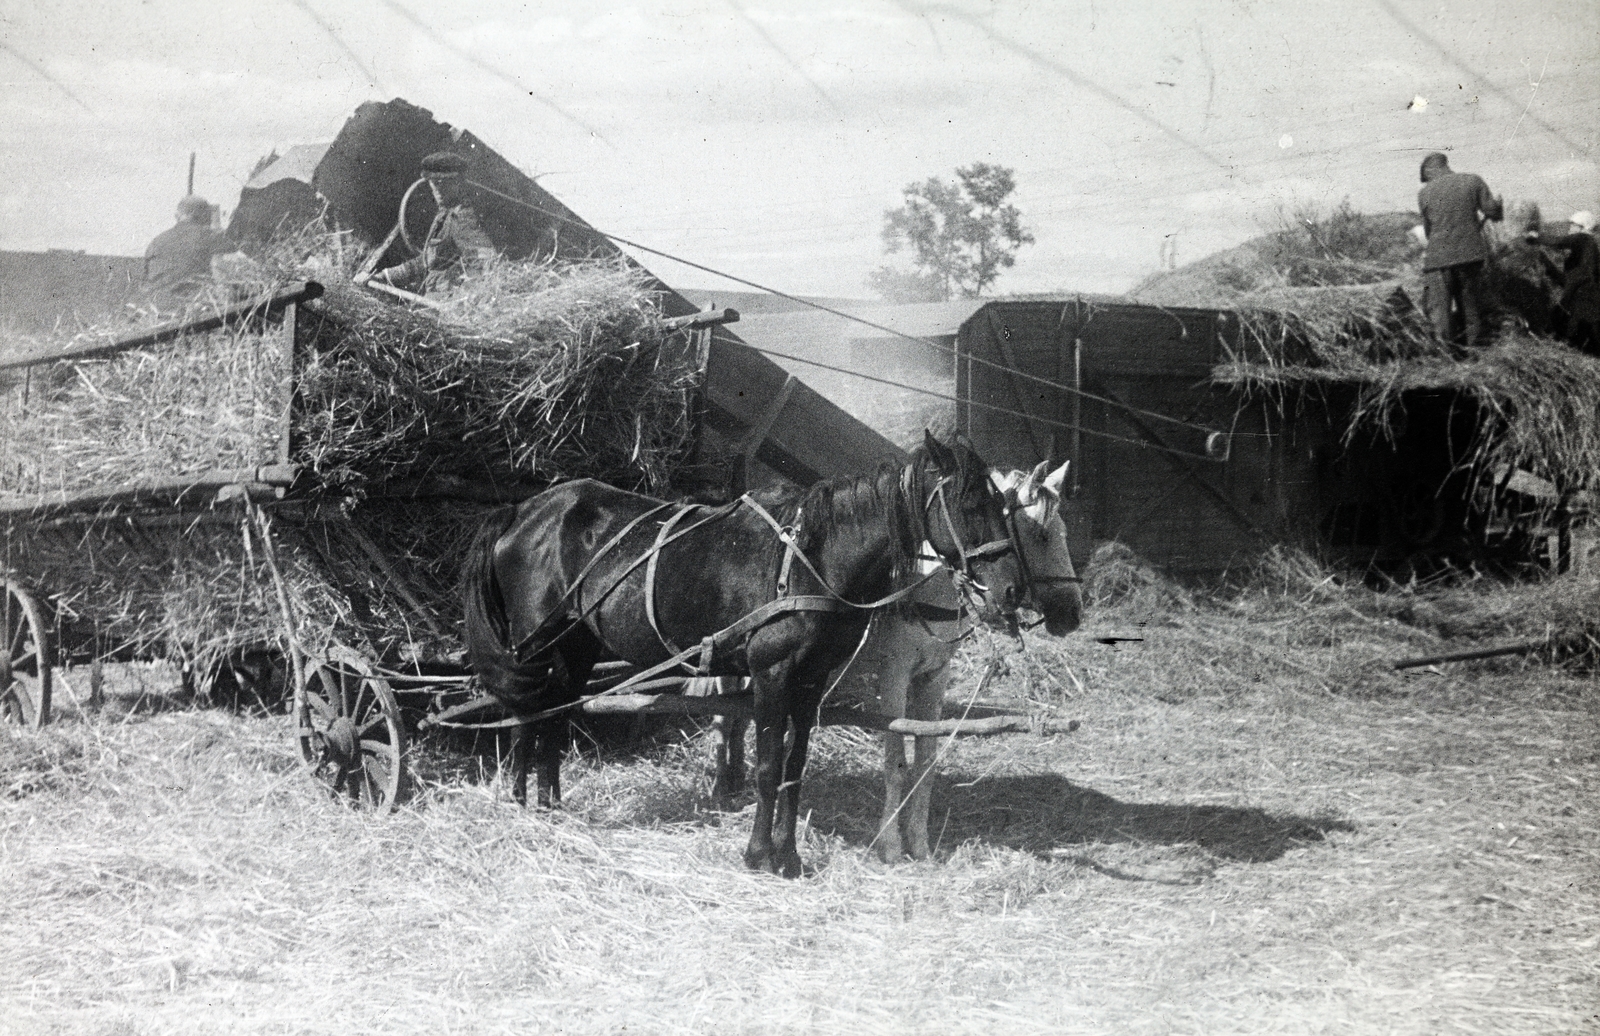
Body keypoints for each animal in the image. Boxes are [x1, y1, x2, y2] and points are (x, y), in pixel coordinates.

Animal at [464, 428, 1036, 876]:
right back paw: (520, 803)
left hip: (576, 646)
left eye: (1004, 505)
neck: (812, 559)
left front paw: (790, 857)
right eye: (971, 504)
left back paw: (549, 805)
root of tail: (525, 509)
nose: (1013, 590)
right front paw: (759, 854)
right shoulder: (771, 674)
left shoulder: (811, 680)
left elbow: (794, 767)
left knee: (553, 715)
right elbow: (766, 768)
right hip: (533, 644)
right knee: (526, 716)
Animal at [688, 466, 1075, 863]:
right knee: (723, 714)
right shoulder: (895, 674)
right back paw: (722, 786)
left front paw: (919, 842)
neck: (921, 589)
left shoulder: (934, 676)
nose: (1072, 612)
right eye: (1041, 535)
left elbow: (926, 760)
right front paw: (890, 844)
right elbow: (896, 762)